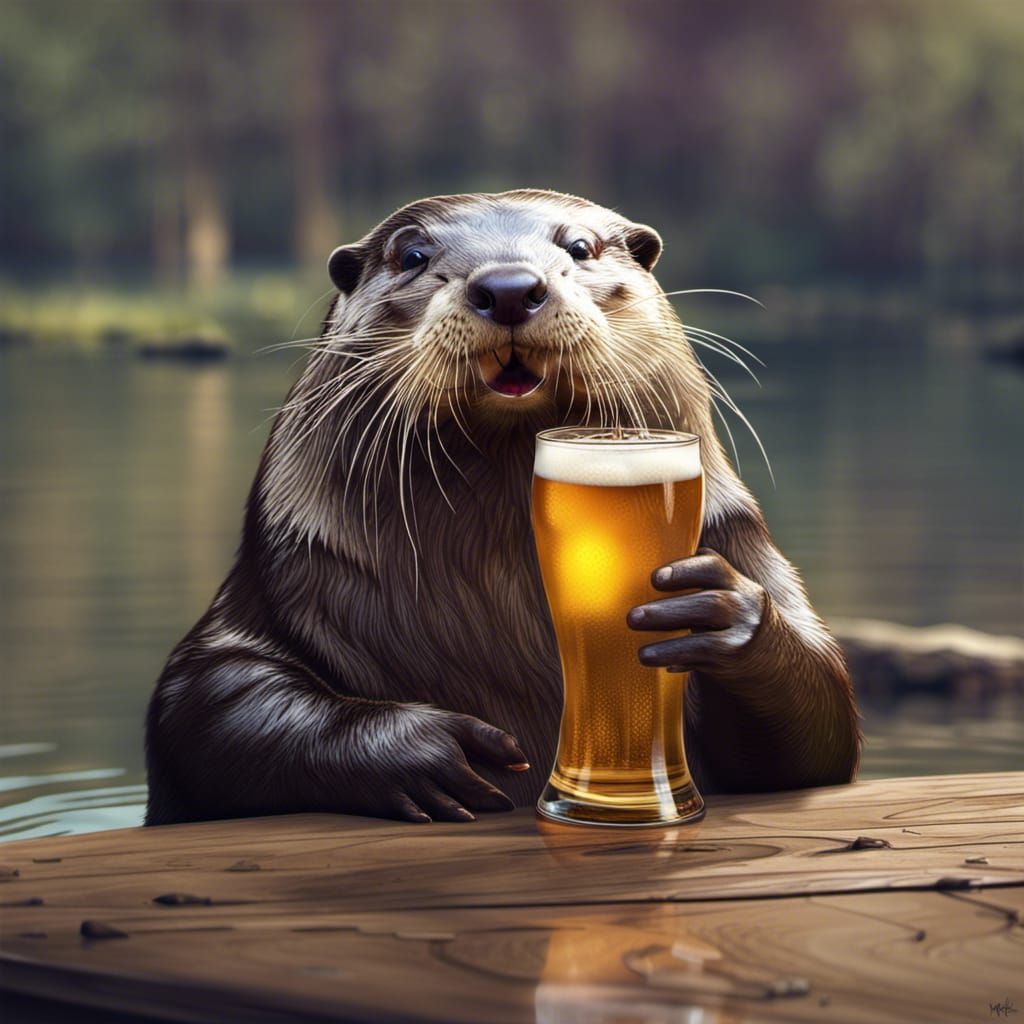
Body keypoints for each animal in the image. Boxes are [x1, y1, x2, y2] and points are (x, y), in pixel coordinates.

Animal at [145, 189, 860, 826]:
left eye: (580, 246)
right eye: (412, 254)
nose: (511, 286)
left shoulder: (734, 535)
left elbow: (822, 721)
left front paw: (718, 610)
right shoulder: (277, 575)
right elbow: (202, 702)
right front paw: (427, 751)